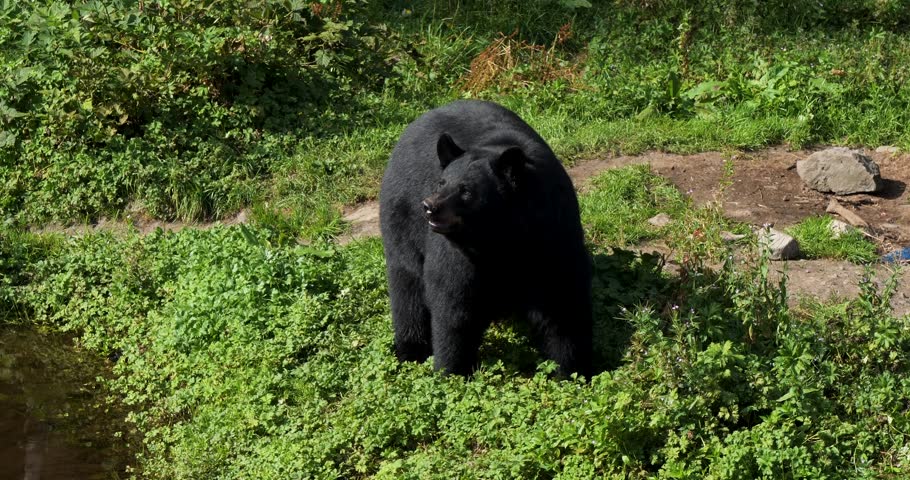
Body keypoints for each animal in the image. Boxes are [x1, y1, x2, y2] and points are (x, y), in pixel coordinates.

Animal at [379, 100, 592, 377]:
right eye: (441, 182)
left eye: (466, 191)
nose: (429, 206)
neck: (499, 239)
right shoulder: (458, 256)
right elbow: (453, 305)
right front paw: (451, 371)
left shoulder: (552, 236)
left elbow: (562, 304)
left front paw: (575, 371)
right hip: (402, 217)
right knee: (407, 284)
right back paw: (410, 349)